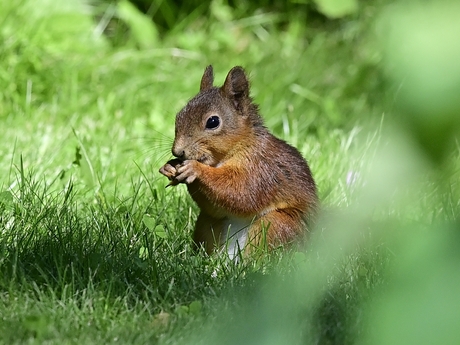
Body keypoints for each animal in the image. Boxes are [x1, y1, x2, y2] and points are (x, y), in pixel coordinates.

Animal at [159, 65, 316, 258]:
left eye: (213, 121)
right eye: (178, 116)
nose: (178, 151)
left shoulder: (262, 168)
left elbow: (242, 193)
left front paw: (195, 169)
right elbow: (218, 208)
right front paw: (170, 166)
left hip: (277, 225)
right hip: (206, 223)